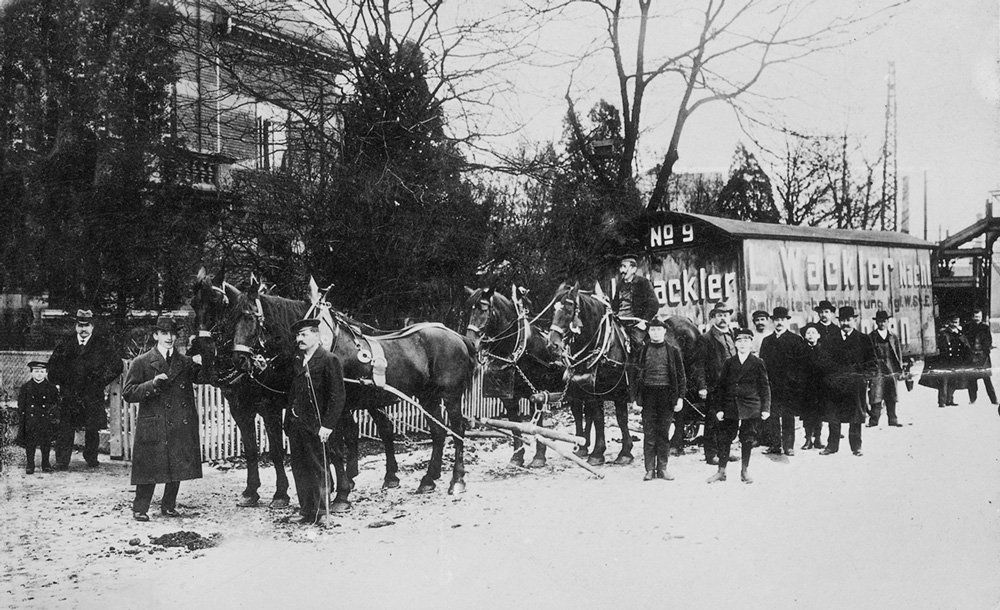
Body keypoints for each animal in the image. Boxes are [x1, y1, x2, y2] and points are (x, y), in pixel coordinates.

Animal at [191, 268, 402, 506]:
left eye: (217, 302)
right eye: (193, 304)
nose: (203, 347)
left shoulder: (270, 407)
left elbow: (276, 451)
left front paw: (281, 493)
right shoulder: (239, 408)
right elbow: (251, 450)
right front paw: (251, 491)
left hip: (368, 398)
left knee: (384, 427)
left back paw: (390, 476)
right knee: (354, 430)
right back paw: (353, 476)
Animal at [220, 278, 480, 496]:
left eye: (251, 318)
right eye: (230, 321)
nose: (238, 359)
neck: (325, 342)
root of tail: (458, 337)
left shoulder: (334, 408)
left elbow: (335, 449)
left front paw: (340, 492)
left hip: (451, 395)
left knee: (457, 431)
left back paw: (457, 480)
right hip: (428, 397)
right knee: (438, 432)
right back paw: (428, 479)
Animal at [462, 284, 568, 466]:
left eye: (484, 309)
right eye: (470, 310)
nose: (471, 342)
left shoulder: (538, 394)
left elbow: (538, 424)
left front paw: (539, 457)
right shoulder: (509, 397)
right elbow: (514, 424)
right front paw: (517, 457)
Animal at [544, 282, 700, 466]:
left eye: (569, 310)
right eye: (553, 310)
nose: (552, 345)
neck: (605, 344)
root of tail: (689, 323)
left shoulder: (619, 391)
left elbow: (620, 418)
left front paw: (624, 453)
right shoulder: (592, 391)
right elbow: (597, 418)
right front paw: (596, 453)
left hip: (686, 379)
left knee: (681, 408)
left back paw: (675, 445)